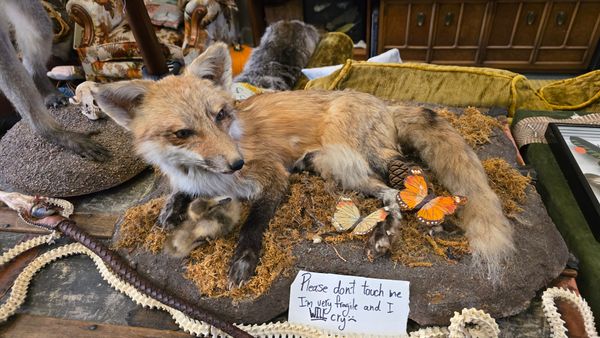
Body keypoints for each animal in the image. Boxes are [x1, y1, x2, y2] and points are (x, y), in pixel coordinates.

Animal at [95, 41, 516, 286]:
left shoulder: (272, 177)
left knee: (397, 191)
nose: (237, 163)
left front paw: (244, 260)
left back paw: (384, 233)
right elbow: (180, 191)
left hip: (351, 161)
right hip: (335, 165)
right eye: (183, 133)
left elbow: (253, 223)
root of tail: (379, 101)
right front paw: (171, 207)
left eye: (221, 115)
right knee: (390, 193)